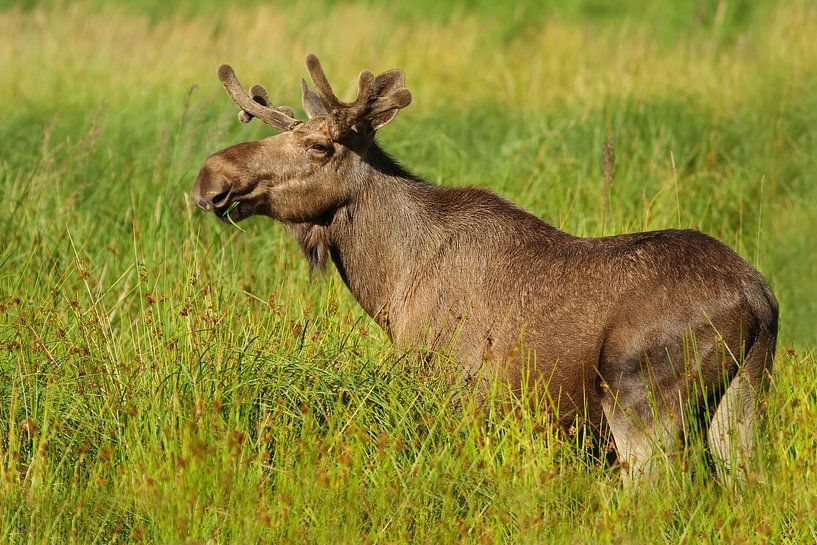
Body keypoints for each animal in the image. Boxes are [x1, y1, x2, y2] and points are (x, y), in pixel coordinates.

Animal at [191, 55, 776, 480]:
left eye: (317, 146)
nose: (209, 176)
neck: (391, 281)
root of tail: (760, 300)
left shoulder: (456, 386)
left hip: (640, 397)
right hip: (742, 399)